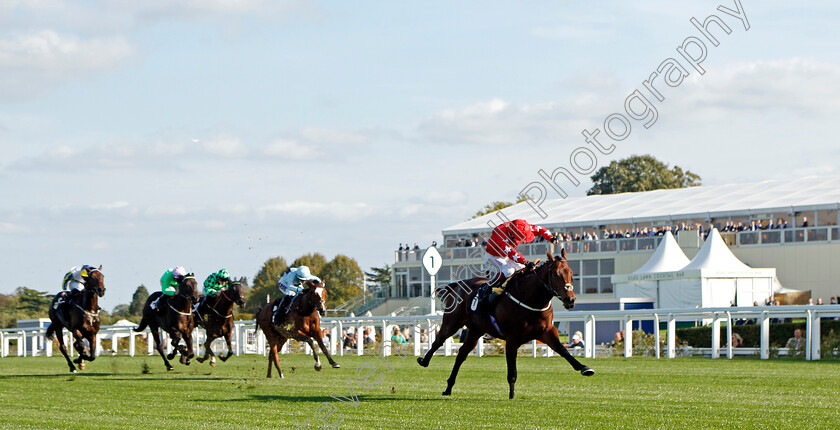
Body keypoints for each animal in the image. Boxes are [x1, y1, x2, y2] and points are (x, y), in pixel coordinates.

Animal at [416, 250, 592, 398]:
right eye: (555, 274)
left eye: (571, 273)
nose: (570, 299)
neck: (531, 299)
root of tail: (457, 285)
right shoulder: (512, 338)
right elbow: (512, 370)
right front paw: (512, 395)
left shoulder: (546, 331)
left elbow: (562, 350)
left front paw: (584, 368)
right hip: (452, 322)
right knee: (439, 340)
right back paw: (424, 361)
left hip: (476, 330)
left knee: (461, 354)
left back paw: (448, 387)